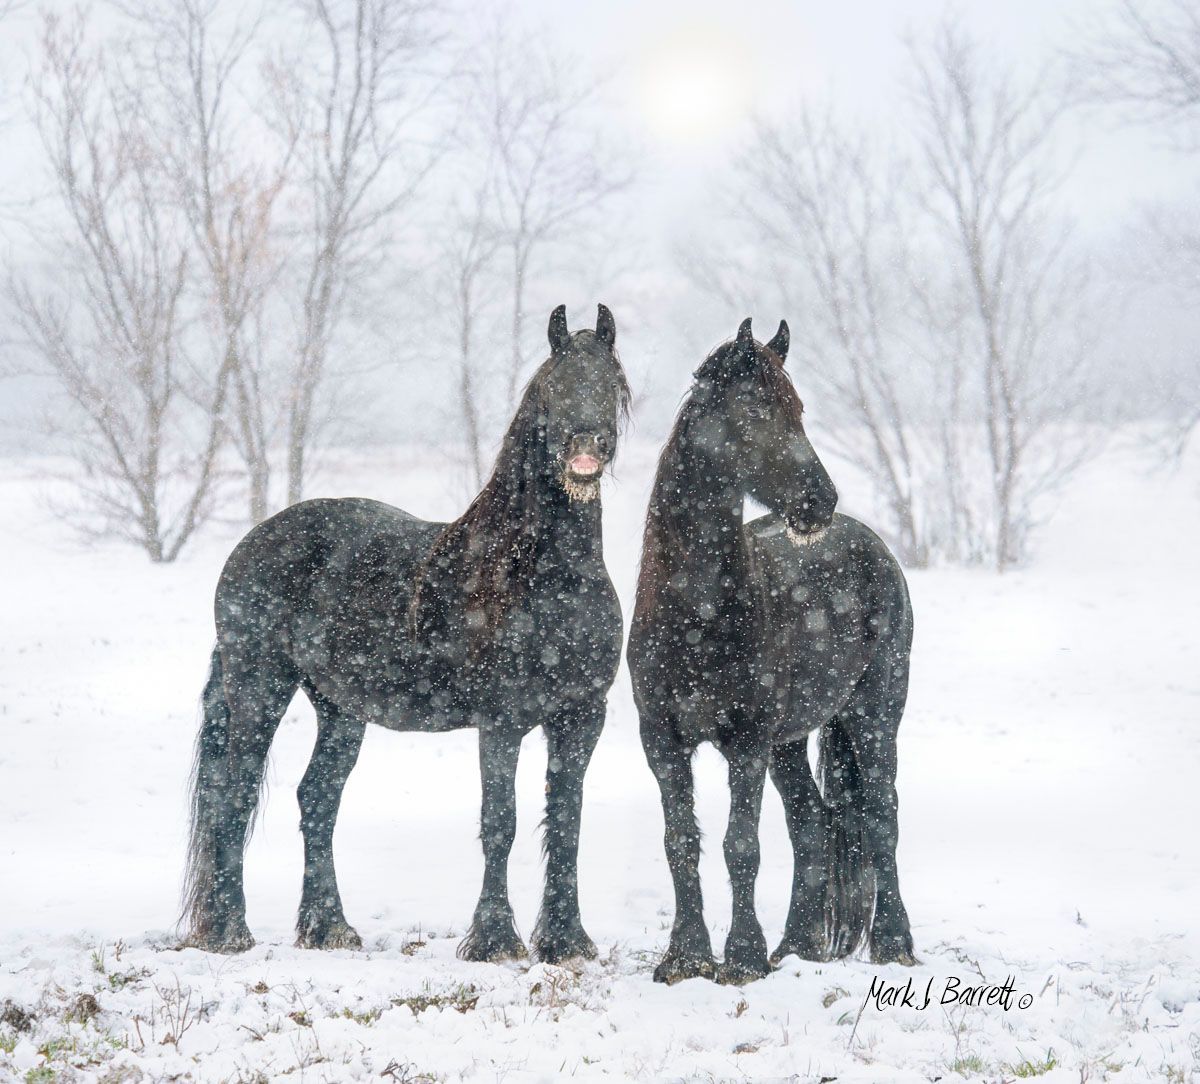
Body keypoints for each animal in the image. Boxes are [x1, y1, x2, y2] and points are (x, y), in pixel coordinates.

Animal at [181, 304, 630, 965]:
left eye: (613, 385)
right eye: (552, 386)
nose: (585, 449)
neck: (544, 577)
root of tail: (252, 543)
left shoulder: (580, 718)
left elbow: (566, 822)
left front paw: (566, 939)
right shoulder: (502, 721)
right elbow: (501, 822)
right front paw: (494, 939)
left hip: (340, 709)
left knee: (317, 799)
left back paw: (328, 928)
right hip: (260, 687)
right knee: (232, 796)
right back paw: (231, 930)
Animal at [627, 317, 915, 985]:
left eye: (799, 410)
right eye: (756, 410)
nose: (820, 500)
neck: (697, 616)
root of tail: (870, 543)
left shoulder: (748, 741)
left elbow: (741, 845)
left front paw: (742, 957)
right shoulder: (663, 741)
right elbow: (680, 841)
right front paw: (685, 957)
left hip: (873, 715)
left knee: (881, 816)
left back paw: (893, 943)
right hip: (791, 743)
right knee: (811, 825)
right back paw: (796, 947)